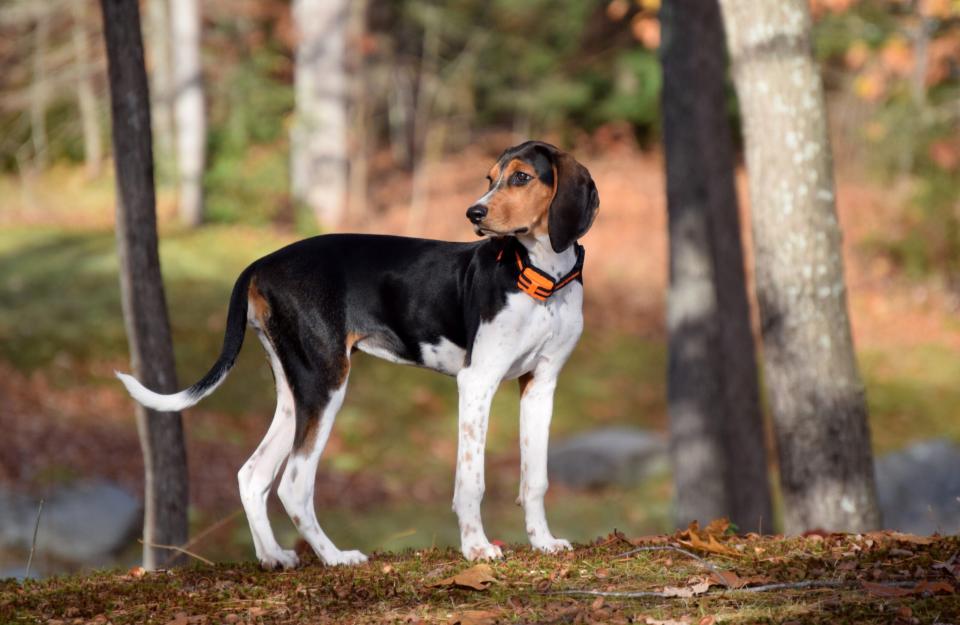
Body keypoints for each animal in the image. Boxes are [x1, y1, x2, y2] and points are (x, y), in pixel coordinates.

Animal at [116, 140, 600, 564]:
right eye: (490, 178)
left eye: (520, 177)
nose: (473, 213)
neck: (542, 280)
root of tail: (261, 263)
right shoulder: (477, 383)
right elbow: (471, 481)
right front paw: (477, 548)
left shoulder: (540, 385)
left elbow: (535, 479)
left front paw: (543, 542)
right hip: (326, 384)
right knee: (294, 485)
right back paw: (335, 557)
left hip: (296, 391)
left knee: (253, 475)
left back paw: (273, 557)